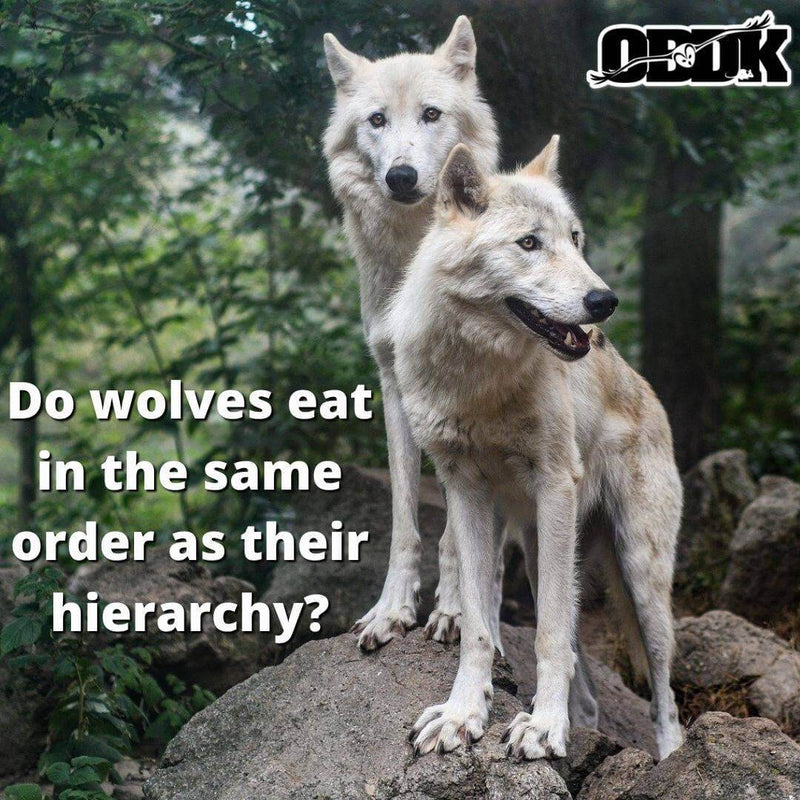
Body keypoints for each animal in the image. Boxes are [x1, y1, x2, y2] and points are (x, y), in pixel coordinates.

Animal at [323, 18, 499, 650]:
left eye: (430, 114)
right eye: (377, 119)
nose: (401, 176)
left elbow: (457, 534)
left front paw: (453, 611)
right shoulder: (395, 388)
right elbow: (404, 519)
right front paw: (391, 611)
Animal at [387, 137, 684, 760]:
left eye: (575, 238)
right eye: (529, 243)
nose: (605, 301)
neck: (480, 381)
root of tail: (647, 390)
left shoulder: (553, 486)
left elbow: (547, 634)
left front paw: (544, 727)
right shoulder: (465, 493)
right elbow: (478, 624)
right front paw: (463, 714)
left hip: (639, 574)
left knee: (664, 695)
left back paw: (670, 758)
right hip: (541, 546)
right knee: (586, 680)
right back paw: (583, 723)